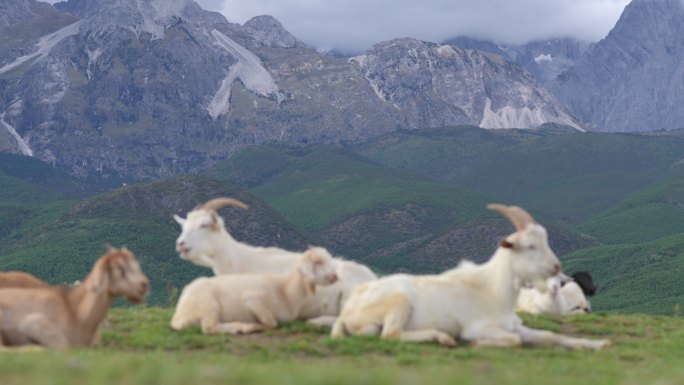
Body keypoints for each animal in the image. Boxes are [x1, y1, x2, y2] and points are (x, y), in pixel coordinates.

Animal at [171, 246, 340, 332]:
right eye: (318, 262)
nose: (335, 277)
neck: (285, 291)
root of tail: (179, 313)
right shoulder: (253, 300)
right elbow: (272, 323)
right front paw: (257, 325)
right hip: (208, 305)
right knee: (208, 327)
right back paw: (243, 327)